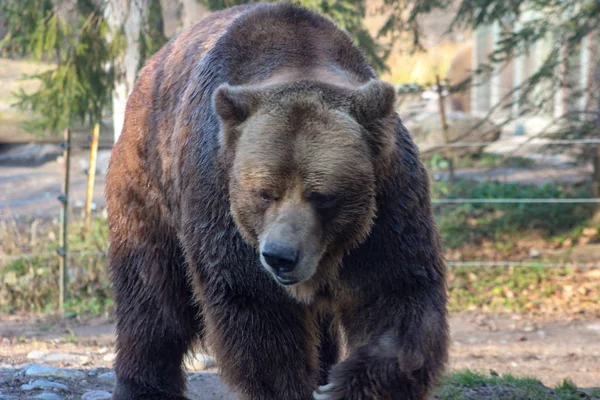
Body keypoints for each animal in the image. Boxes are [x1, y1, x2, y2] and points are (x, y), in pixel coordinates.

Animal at [105, 3, 448, 400]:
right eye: (264, 192)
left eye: (322, 195)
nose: (280, 256)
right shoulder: (218, 196)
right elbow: (258, 312)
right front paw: (294, 386)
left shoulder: (387, 208)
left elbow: (395, 296)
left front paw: (342, 385)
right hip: (150, 184)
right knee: (153, 294)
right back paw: (145, 384)